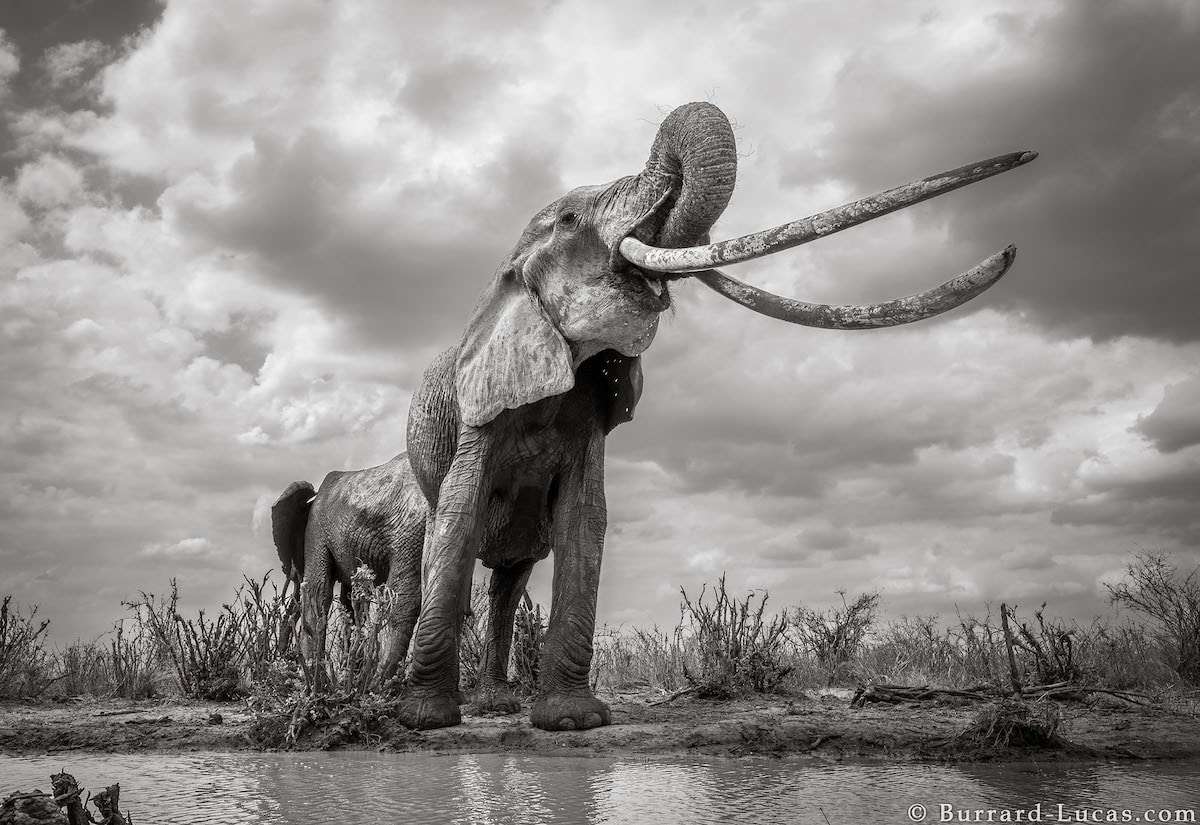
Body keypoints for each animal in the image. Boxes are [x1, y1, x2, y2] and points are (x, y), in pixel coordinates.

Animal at [271, 450, 427, 681]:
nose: (284, 660)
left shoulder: (316, 530)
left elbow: (318, 591)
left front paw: (312, 678)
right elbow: (350, 601)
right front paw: (346, 674)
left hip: (410, 528)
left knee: (403, 595)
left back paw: (379, 682)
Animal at [388, 101, 1036, 729]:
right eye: (570, 220)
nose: (1027, 155)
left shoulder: (589, 410)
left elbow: (584, 518)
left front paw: (573, 721)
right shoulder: (476, 408)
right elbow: (459, 515)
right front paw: (424, 720)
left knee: (510, 578)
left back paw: (496, 706)